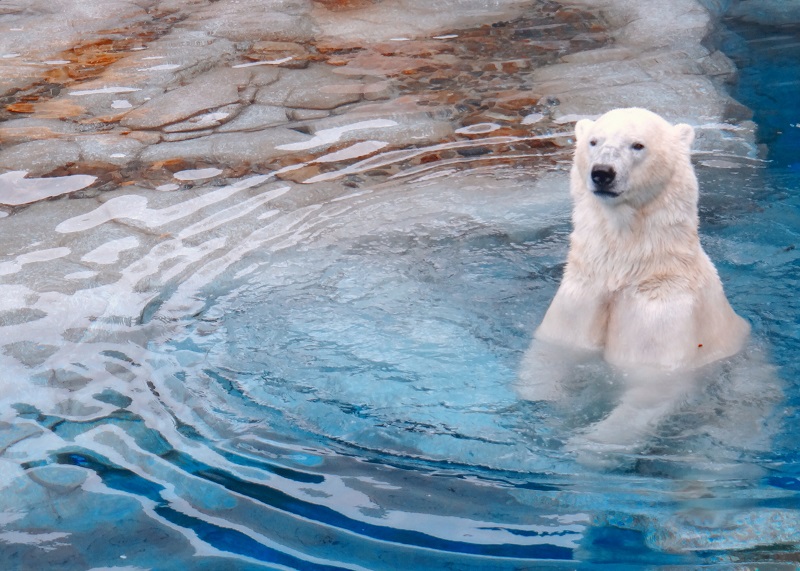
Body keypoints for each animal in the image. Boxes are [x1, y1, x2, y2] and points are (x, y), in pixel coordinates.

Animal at [520, 106, 752, 456]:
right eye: (593, 141)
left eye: (638, 145)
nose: (602, 173)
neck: (630, 270)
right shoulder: (581, 295)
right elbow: (551, 357)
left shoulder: (662, 313)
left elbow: (650, 392)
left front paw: (587, 446)